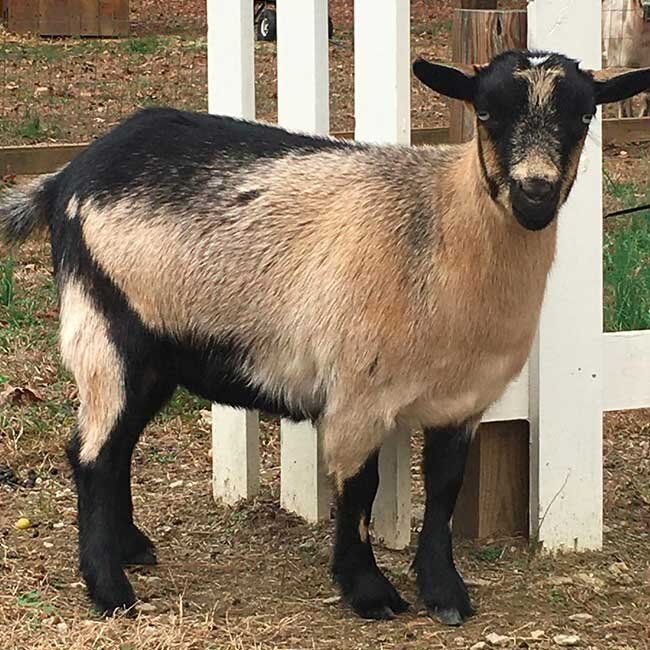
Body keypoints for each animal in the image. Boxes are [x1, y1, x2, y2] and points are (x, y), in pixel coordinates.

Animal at [1, 50, 648, 626]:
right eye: (485, 112)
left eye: (583, 116)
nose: (535, 192)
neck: (439, 226)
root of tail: (64, 180)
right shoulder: (358, 393)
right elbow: (359, 490)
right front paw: (369, 592)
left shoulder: (462, 400)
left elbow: (443, 491)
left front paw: (445, 593)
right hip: (106, 328)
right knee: (93, 456)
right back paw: (110, 590)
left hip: (158, 349)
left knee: (117, 446)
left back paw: (133, 547)